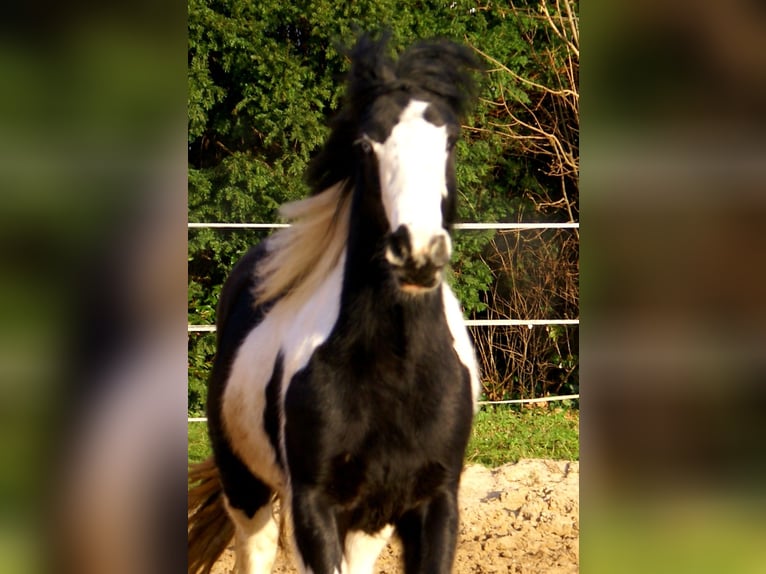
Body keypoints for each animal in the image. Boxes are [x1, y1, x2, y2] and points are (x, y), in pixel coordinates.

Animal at [189, 36, 484, 574]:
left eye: (449, 141)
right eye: (367, 145)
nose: (417, 252)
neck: (397, 374)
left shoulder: (434, 500)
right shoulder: (314, 502)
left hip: (371, 517)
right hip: (246, 486)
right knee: (257, 548)